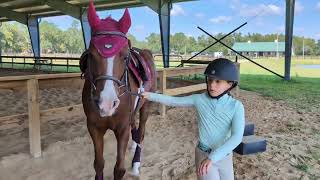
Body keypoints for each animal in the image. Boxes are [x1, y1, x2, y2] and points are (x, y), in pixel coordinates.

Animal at [79, 1, 156, 179]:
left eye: (125, 56)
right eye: (91, 54)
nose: (106, 103)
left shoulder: (122, 129)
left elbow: (119, 169)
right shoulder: (94, 127)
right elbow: (98, 164)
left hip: (146, 106)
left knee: (141, 131)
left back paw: (136, 163)